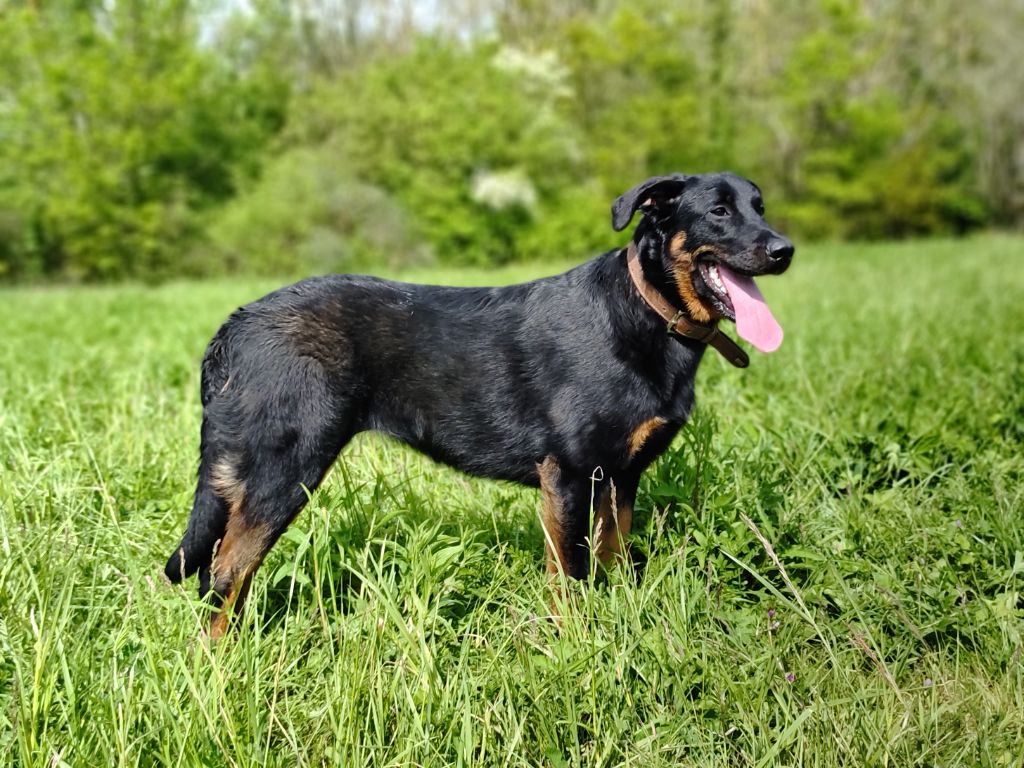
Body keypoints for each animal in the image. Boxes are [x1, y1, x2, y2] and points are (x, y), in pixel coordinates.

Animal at [163, 173, 794, 638]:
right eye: (718, 212)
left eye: (760, 207)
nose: (783, 250)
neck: (645, 313)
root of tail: (237, 323)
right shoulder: (568, 476)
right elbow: (570, 575)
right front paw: (576, 646)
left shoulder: (621, 479)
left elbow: (610, 560)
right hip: (284, 468)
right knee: (224, 571)